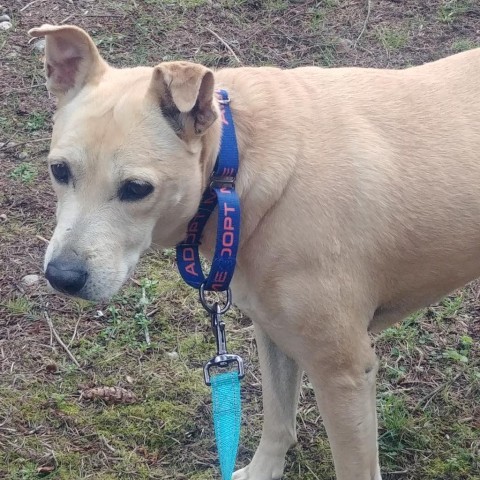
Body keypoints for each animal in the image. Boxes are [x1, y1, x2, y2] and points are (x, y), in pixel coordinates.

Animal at [30, 24, 480, 480]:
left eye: (137, 189)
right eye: (59, 170)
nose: (62, 277)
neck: (237, 170)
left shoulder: (345, 373)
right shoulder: (274, 332)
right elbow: (278, 420)